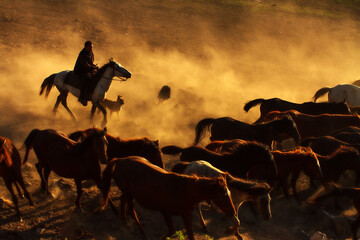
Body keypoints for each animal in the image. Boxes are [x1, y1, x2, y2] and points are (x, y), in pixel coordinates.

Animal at [101, 156, 239, 240]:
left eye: (229, 193)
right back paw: (143, 233)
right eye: (223, 195)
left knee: (122, 199)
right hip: (129, 194)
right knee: (132, 211)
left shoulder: (186, 215)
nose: (233, 212)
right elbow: (172, 231)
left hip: (127, 192)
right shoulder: (166, 212)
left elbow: (190, 234)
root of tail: (121, 160)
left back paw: (124, 219)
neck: (184, 190)